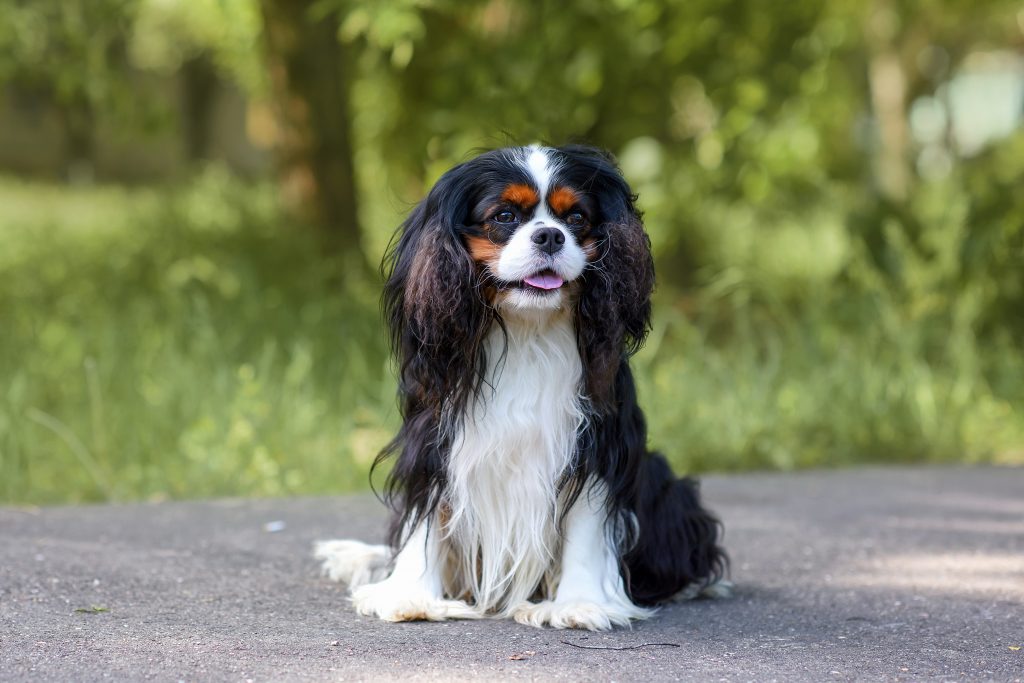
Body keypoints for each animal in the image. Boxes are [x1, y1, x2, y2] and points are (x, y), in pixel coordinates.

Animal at [315, 143, 724, 630]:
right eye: (506, 216)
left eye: (577, 218)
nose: (549, 236)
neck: (527, 327)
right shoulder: (433, 434)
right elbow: (425, 518)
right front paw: (411, 596)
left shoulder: (596, 442)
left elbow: (587, 525)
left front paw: (578, 604)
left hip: (663, 480)